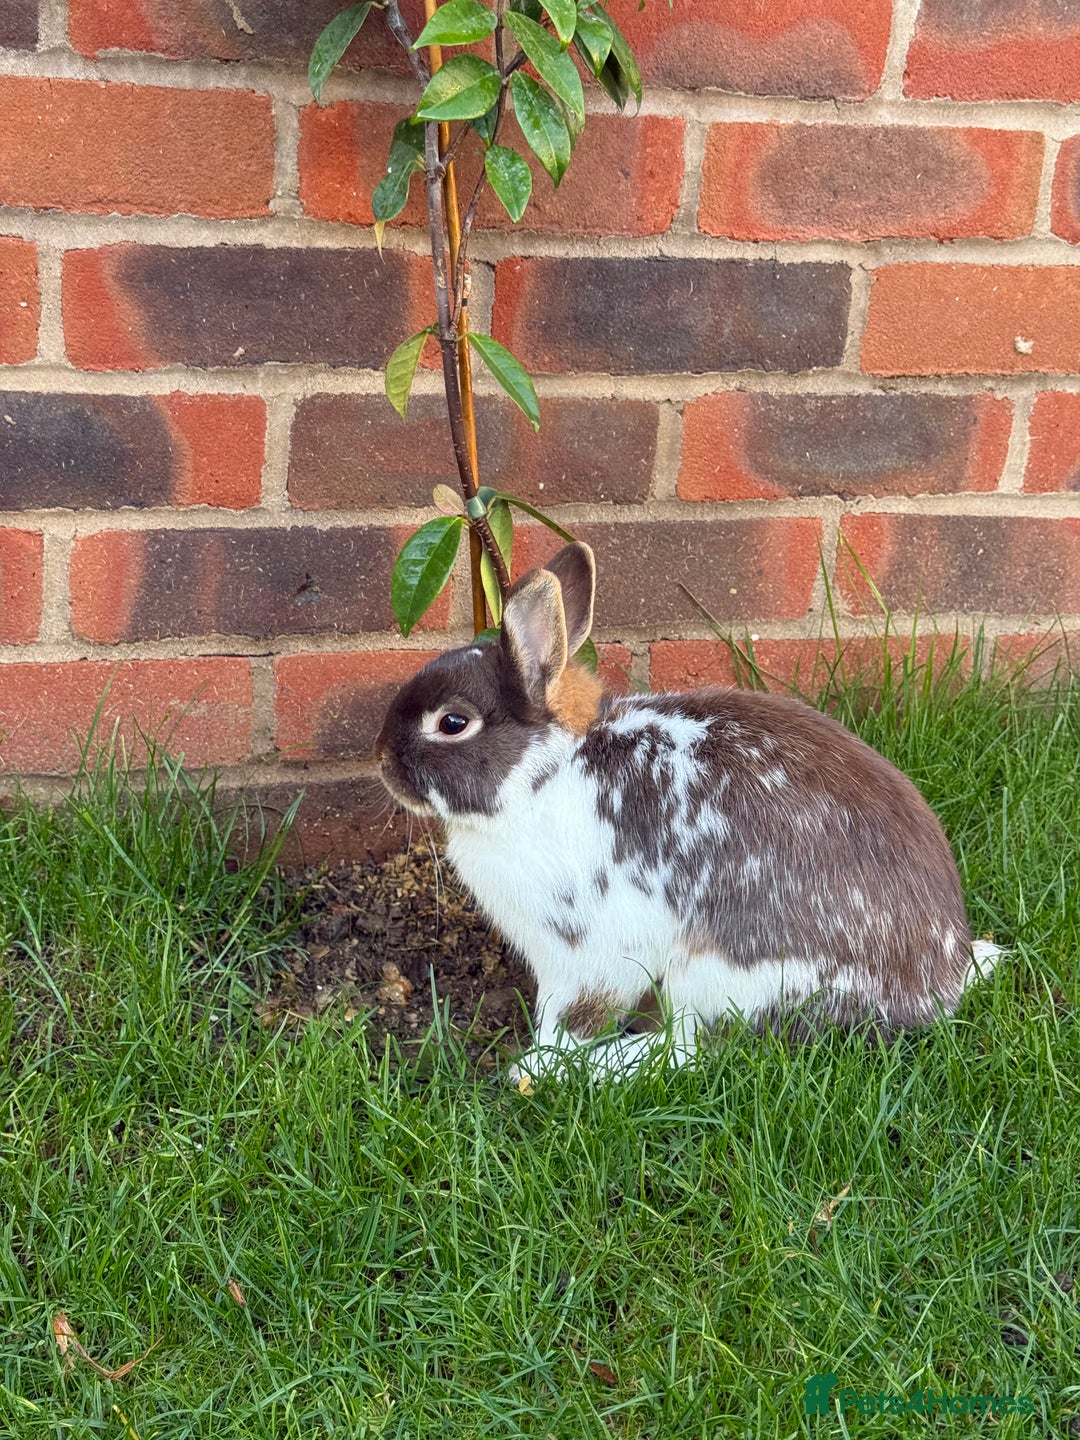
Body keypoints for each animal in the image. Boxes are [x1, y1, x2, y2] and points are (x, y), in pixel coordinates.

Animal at [374, 542, 999, 1082]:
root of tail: (938, 982)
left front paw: (537, 1067)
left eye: (453, 722)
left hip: (721, 975)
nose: (380, 758)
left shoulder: (587, 951)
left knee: (692, 1049)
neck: (544, 775)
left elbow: (570, 1018)